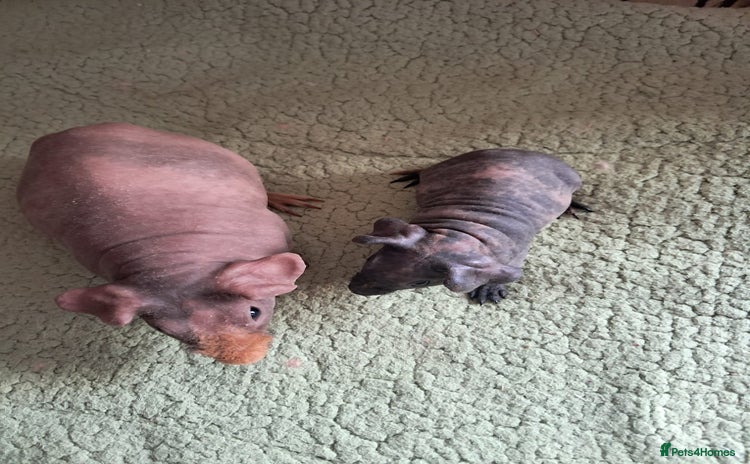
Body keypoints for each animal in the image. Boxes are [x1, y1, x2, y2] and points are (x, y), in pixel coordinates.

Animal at [17, 122, 320, 364]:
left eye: (254, 313)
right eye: (169, 334)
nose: (247, 359)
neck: (172, 267)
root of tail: (45, 141)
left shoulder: (274, 231)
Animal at [349, 148, 589, 304]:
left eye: (420, 282)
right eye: (371, 259)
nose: (354, 288)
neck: (458, 231)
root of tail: (534, 153)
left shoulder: (516, 249)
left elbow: (510, 269)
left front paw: (489, 291)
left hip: (572, 179)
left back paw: (573, 207)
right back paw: (412, 176)